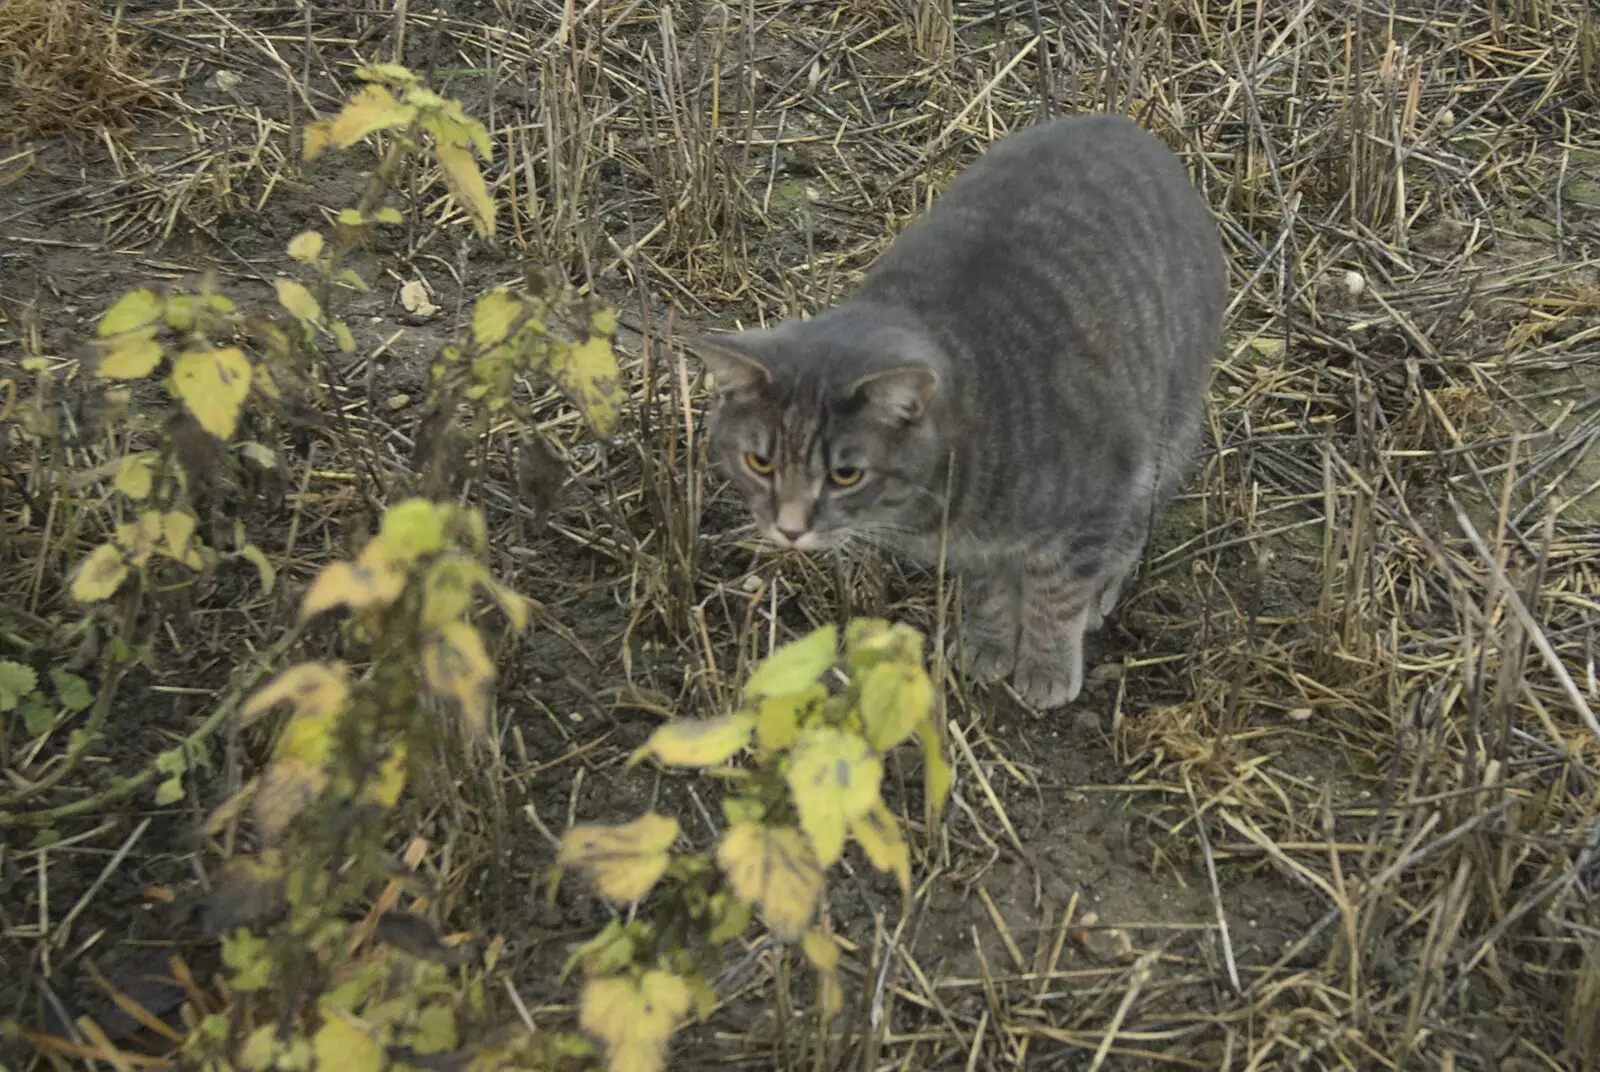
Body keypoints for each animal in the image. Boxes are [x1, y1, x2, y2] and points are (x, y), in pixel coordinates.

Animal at [697, 113, 1222, 710]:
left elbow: (1059, 591)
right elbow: (989, 591)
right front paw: (989, 644)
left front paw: (1045, 664)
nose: (789, 530)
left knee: (1136, 524)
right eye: (759, 463)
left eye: (845, 474)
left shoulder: (1101, 492)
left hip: (1166, 429)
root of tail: (1122, 123)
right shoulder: (974, 549)